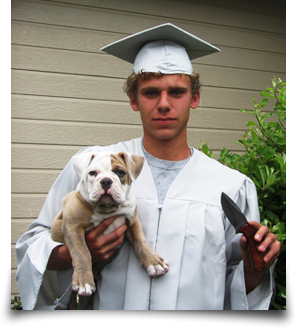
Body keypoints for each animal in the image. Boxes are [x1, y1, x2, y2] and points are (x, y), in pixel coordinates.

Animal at [51, 150, 169, 308]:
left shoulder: (133, 221)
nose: (106, 181)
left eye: (120, 172)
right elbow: (82, 253)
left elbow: (141, 242)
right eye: (92, 173)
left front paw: (153, 262)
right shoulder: (72, 225)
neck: (108, 209)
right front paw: (84, 281)